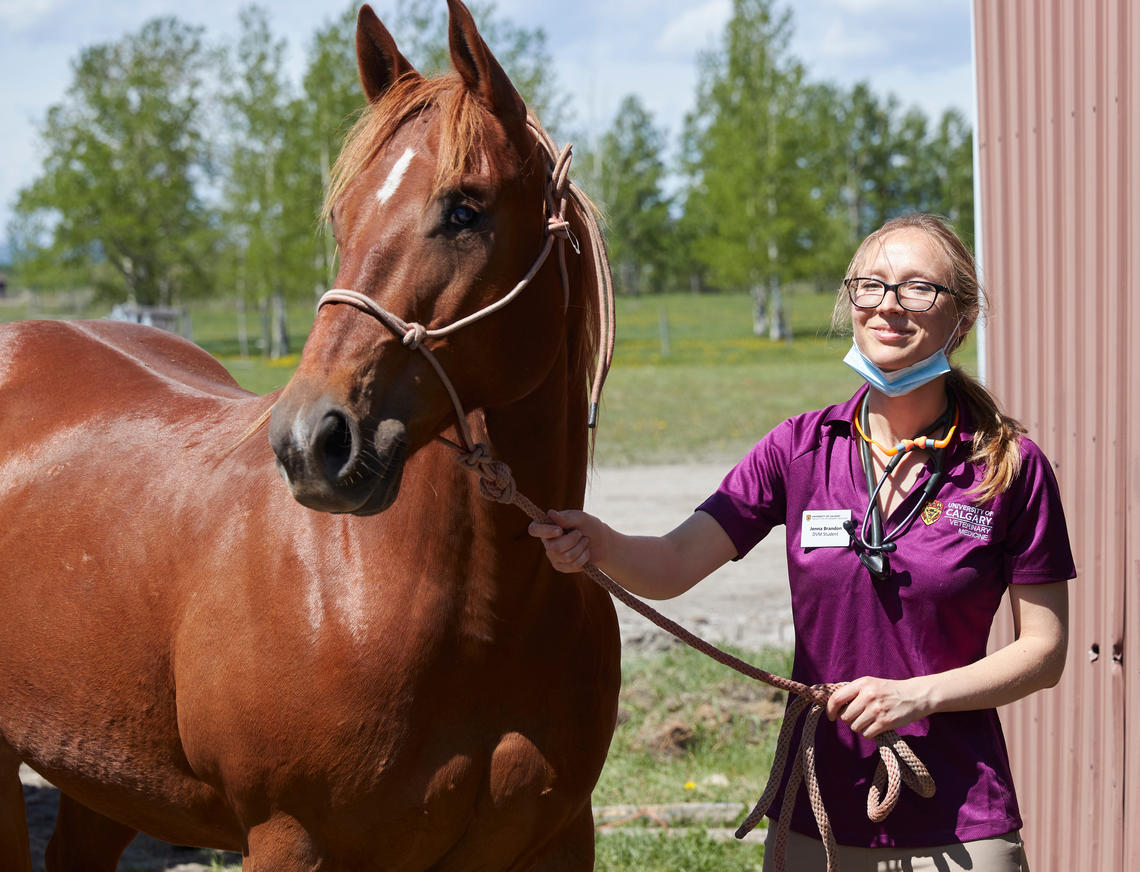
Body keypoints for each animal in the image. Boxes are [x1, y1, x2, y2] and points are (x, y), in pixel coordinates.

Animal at [0, 3, 620, 866]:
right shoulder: (291, 838)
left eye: (465, 208)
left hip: (105, 772)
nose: (311, 441)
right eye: (342, 215)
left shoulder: (561, 837)